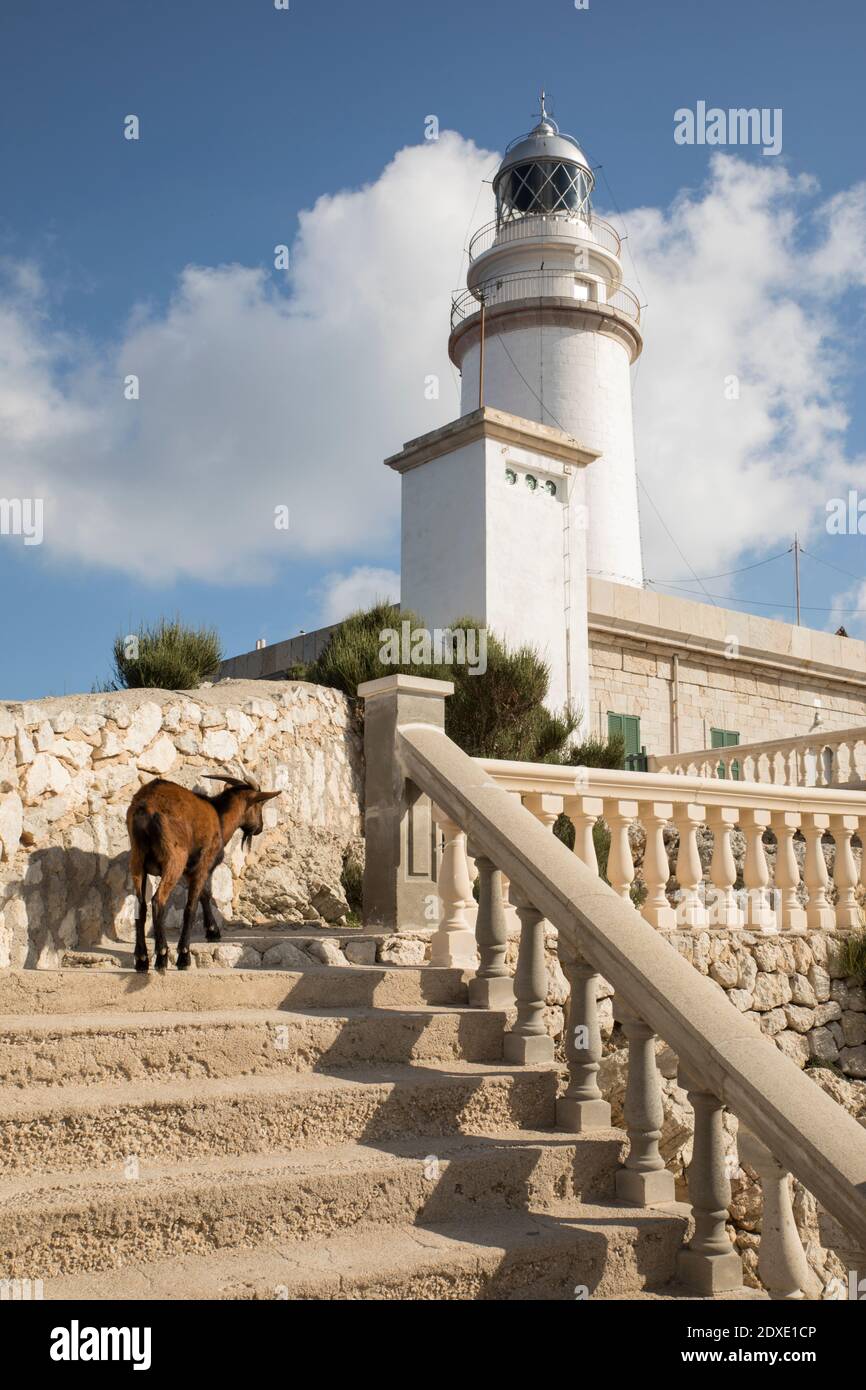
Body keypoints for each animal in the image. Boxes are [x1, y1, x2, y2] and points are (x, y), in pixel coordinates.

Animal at [126, 772, 278, 978]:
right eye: (259, 804)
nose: (259, 828)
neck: (219, 818)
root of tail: (146, 808)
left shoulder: (192, 871)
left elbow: (204, 895)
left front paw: (212, 931)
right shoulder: (202, 864)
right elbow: (191, 908)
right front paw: (184, 956)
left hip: (137, 860)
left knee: (140, 906)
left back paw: (142, 960)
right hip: (174, 860)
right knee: (158, 900)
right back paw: (162, 957)